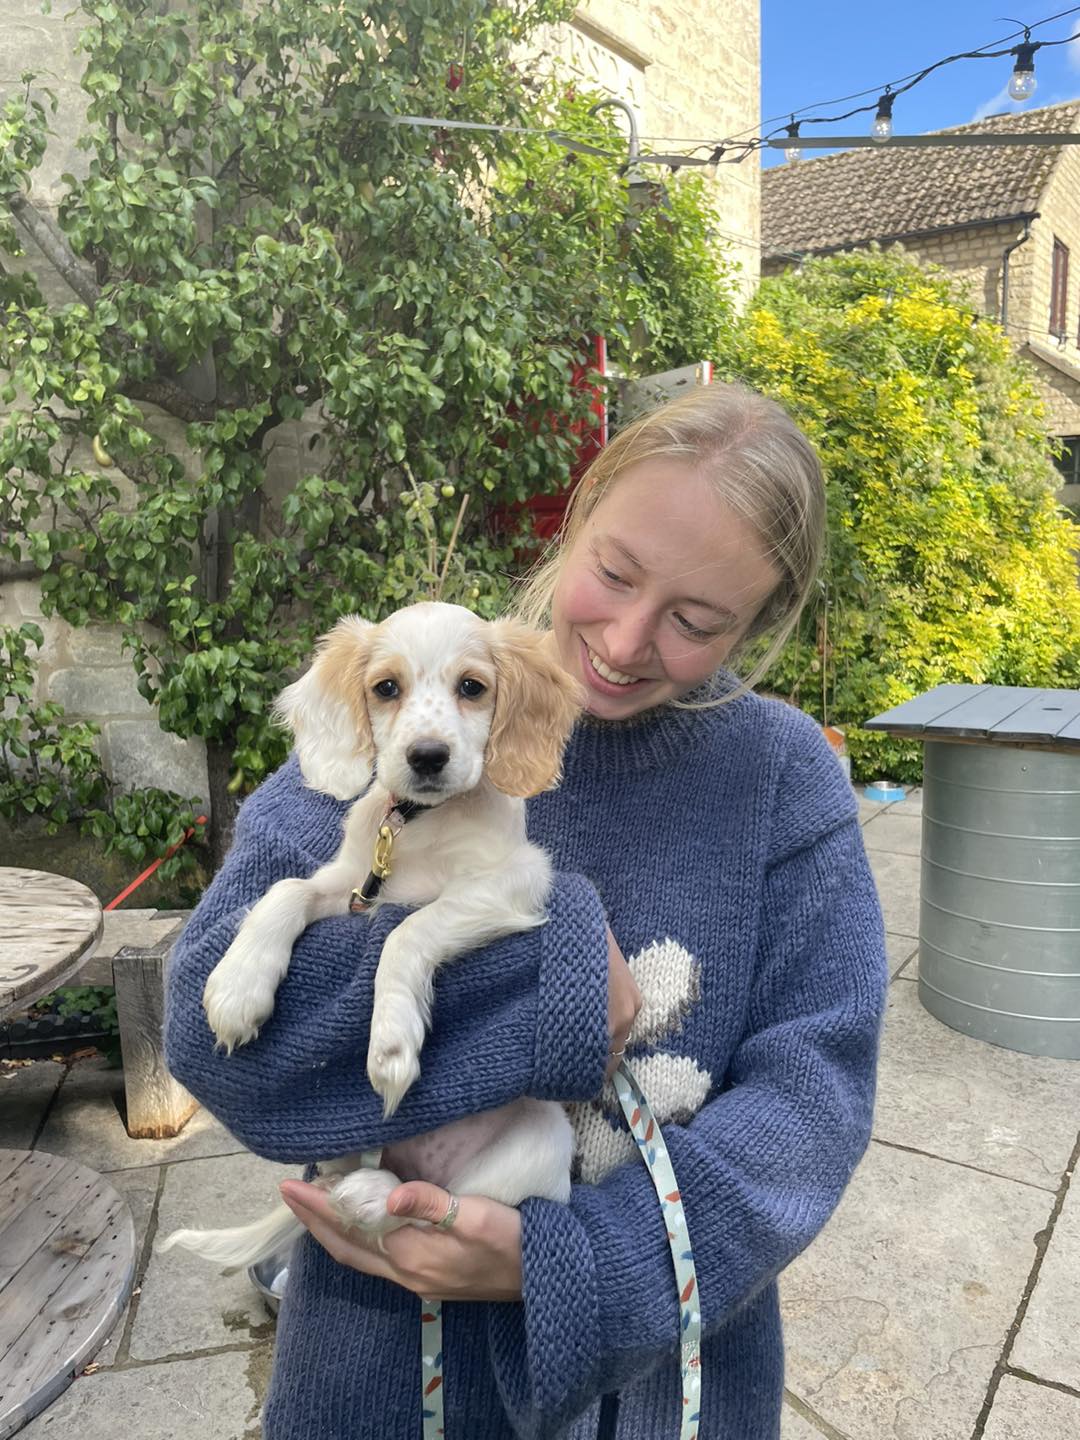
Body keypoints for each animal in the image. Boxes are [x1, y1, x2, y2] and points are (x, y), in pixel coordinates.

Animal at [160, 601, 584, 1267]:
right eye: (386, 688)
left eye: (472, 687)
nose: (428, 756)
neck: (419, 825)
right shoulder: (354, 884)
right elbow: (287, 890)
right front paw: (237, 986)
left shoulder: (515, 882)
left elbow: (407, 930)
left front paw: (390, 1042)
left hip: (538, 1141)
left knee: (426, 1208)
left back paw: (372, 1194)